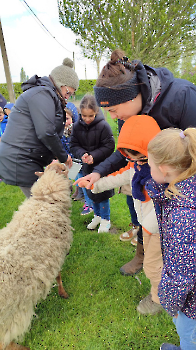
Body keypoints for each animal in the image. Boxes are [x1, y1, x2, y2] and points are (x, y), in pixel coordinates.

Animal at [0, 163, 72, 348]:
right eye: (63, 169)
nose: (65, 162)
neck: (45, 201)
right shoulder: (55, 253)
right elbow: (58, 276)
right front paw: (63, 293)